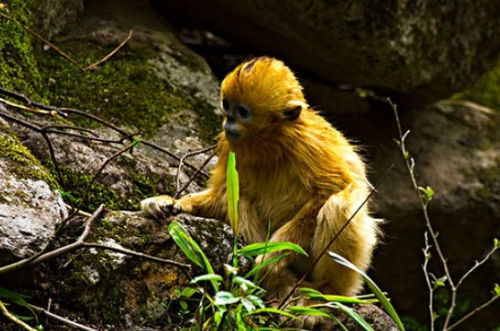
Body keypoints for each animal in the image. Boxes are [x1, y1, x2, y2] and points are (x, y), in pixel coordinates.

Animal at [141, 57, 378, 304]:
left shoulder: (308, 142)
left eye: (242, 112)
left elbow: (333, 188)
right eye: (227, 106)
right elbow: (220, 195)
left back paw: (321, 293)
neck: (270, 141)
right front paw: (169, 202)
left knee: (340, 203)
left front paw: (270, 257)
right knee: (239, 198)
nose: (228, 123)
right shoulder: (229, 144)